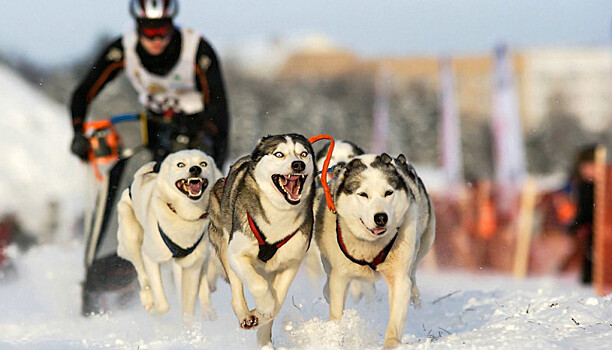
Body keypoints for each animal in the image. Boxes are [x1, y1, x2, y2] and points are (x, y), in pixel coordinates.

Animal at [116, 149, 221, 324]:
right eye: (180, 164)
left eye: (203, 163)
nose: (195, 169)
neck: (184, 215)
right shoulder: (150, 257)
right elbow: (163, 304)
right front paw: (156, 310)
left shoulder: (191, 266)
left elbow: (188, 305)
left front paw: (190, 328)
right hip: (132, 240)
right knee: (142, 275)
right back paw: (148, 300)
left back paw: (208, 310)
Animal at [209, 133, 316, 348]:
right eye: (279, 154)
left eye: (303, 153)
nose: (298, 165)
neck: (279, 213)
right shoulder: (237, 254)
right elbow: (259, 287)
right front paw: (264, 308)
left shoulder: (291, 262)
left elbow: (278, 300)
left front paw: (264, 315)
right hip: (225, 248)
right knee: (237, 290)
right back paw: (246, 316)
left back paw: (264, 339)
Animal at [316, 152, 436, 348]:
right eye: (363, 194)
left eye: (388, 192)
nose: (381, 217)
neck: (371, 246)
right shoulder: (340, 276)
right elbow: (336, 312)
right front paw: (335, 339)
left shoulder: (399, 276)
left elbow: (396, 317)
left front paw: (391, 344)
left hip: (424, 241)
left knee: (413, 274)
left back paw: (415, 298)